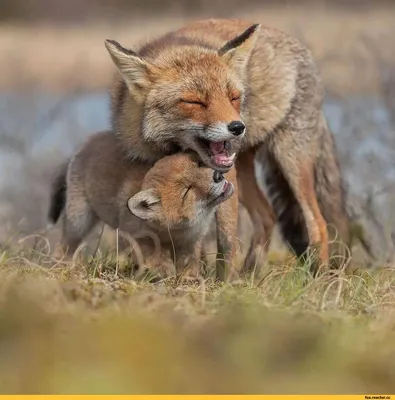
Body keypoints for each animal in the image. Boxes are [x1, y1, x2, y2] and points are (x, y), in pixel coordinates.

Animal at [104, 18, 350, 276]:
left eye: (233, 97)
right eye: (194, 102)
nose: (238, 127)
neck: (174, 148)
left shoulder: (225, 178)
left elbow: (226, 240)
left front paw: (224, 281)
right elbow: (191, 232)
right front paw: (193, 274)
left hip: (289, 160)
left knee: (318, 223)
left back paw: (320, 277)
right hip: (245, 169)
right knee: (267, 216)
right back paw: (252, 275)